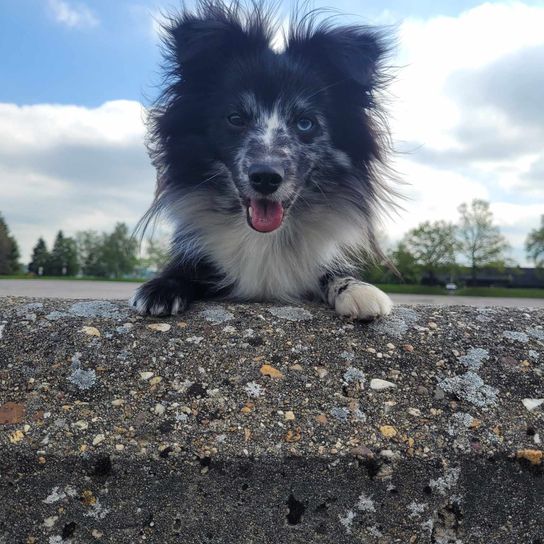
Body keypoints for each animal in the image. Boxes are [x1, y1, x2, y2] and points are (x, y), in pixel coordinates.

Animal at [132, 0, 396, 320]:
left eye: (305, 123)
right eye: (235, 118)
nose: (266, 178)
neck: (265, 236)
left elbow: (330, 272)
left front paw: (357, 289)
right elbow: (185, 269)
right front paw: (162, 288)